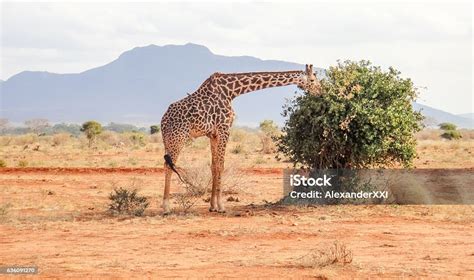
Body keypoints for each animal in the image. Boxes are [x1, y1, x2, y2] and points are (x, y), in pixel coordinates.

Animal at [161, 64, 320, 213]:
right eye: (312, 80)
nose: (320, 91)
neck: (232, 91)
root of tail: (163, 120)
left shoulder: (213, 134)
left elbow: (214, 166)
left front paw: (212, 206)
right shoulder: (224, 129)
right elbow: (221, 166)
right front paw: (221, 206)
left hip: (168, 141)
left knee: (166, 164)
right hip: (178, 139)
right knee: (169, 166)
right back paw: (166, 207)